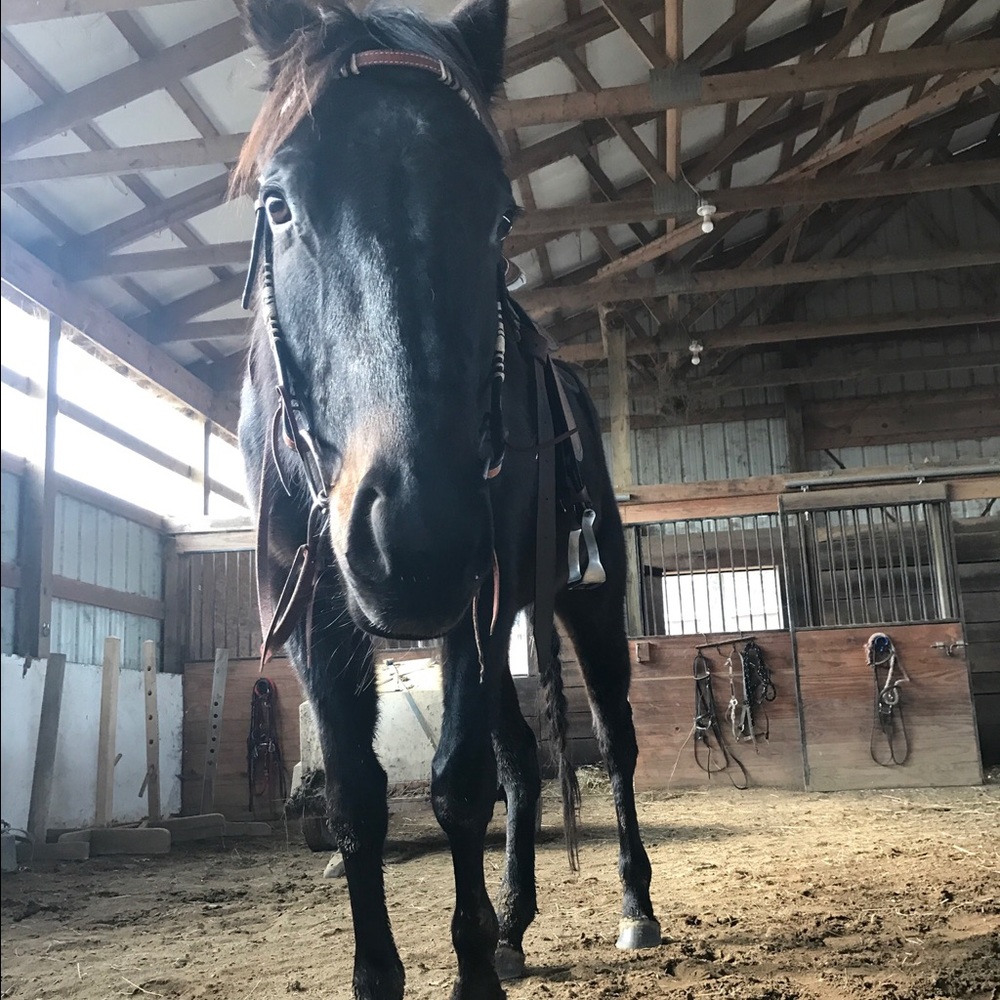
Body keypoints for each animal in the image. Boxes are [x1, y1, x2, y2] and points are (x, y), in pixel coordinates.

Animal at [234, 2, 660, 997]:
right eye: (279, 204)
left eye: (499, 214)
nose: (413, 537)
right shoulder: (315, 615)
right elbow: (358, 799)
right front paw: (391, 969)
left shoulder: (476, 601)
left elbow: (459, 784)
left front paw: (470, 970)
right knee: (523, 761)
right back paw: (514, 924)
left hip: (581, 601)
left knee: (613, 741)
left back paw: (633, 907)